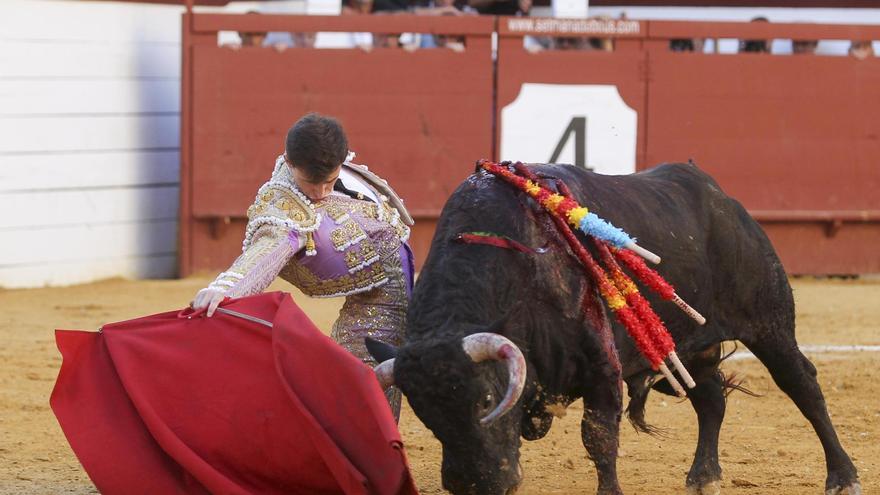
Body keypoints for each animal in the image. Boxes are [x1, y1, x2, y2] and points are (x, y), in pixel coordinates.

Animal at [366, 164, 860, 495]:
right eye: (425, 415)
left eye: (487, 399)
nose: (473, 484)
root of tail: (720, 197)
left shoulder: (601, 367)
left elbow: (599, 437)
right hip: (684, 346)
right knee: (710, 399)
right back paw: (703, 476)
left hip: (770, 324)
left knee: (802, 386)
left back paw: (843, 476)